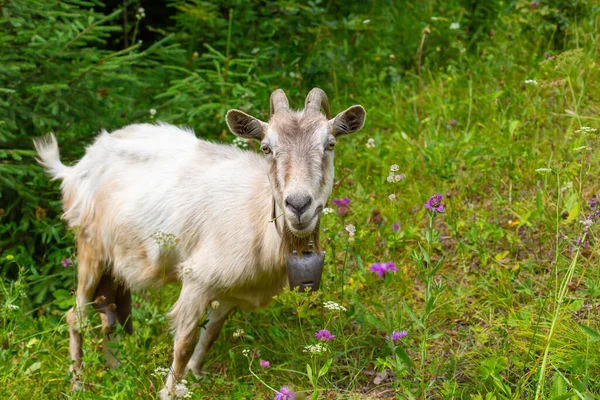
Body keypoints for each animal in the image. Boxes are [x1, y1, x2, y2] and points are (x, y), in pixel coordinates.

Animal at [35, 88, 368, 396]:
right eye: (266, 147)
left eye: (330, 144)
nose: (298, 205)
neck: (256, 213)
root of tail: (76, 167)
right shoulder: (197, 280)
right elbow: (184, 342)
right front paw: (170, 391)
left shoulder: (232, 291)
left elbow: (211, 334)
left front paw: (196, 376)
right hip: (90, 247)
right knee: (75, 316)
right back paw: (78, 382)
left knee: (109, 316)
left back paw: (115, 370)